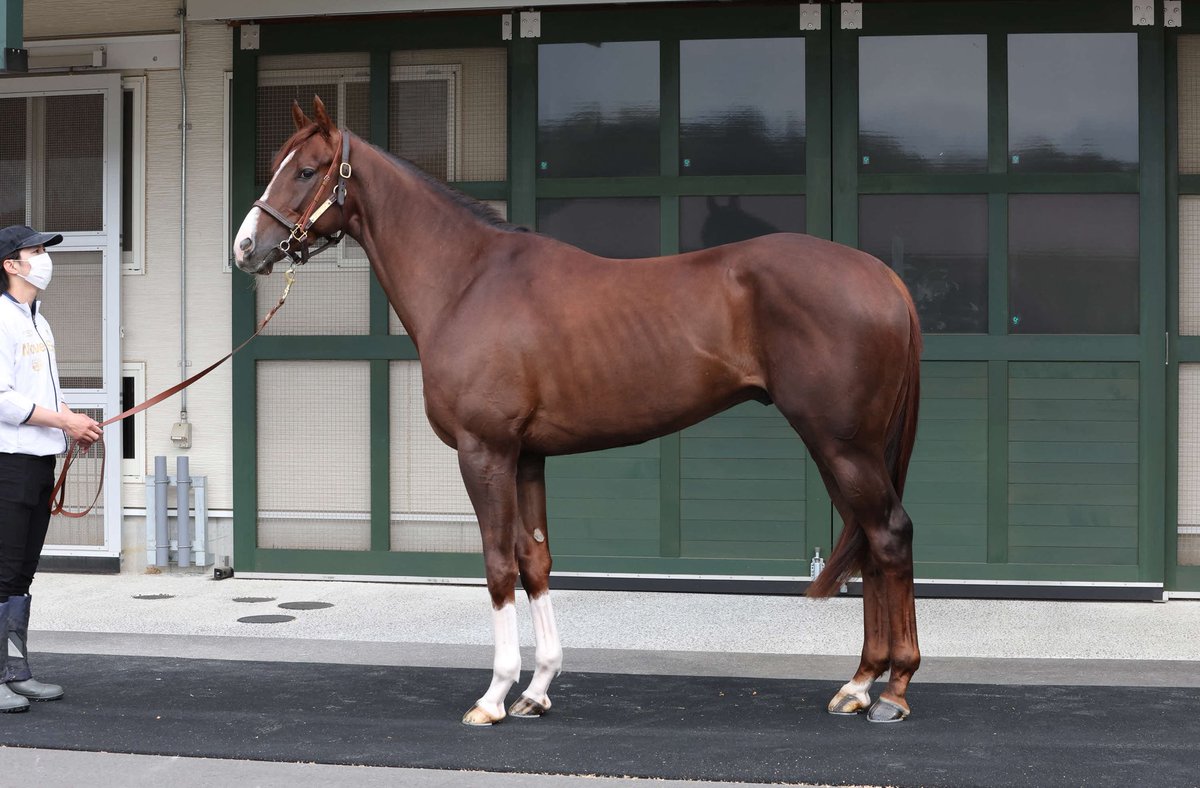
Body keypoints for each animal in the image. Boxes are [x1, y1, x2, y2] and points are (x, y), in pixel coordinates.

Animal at [234, 97, 923, 726]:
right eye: (277, 165)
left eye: (307, 170)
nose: (246, 247)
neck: (468, 281)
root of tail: (883, 279)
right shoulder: (527, 457)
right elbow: (535, 561)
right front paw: (537, 690)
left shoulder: (485, 452)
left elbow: (497, 565)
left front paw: (493, 696)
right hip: (841, 450)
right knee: (868, 542)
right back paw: (859, 685)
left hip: (842, 445)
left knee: (889, 535)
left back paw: (891, 691)